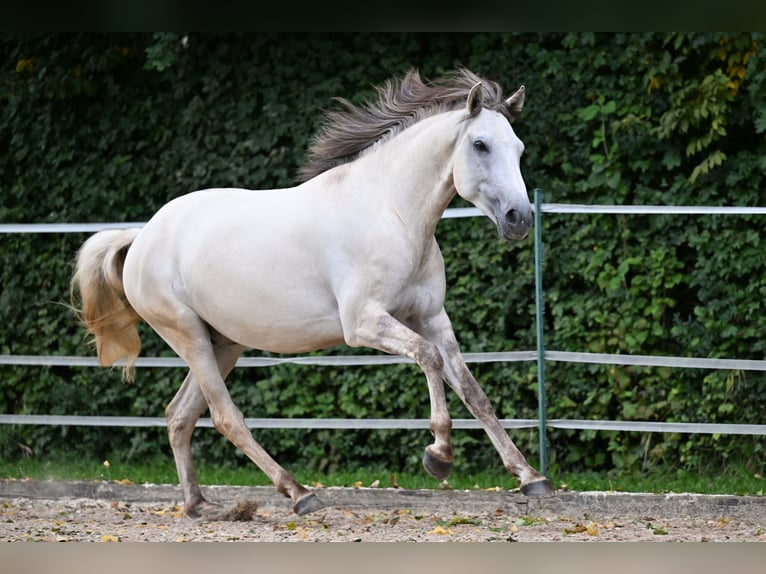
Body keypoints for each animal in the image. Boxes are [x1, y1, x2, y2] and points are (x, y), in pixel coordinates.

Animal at [70, 68, 552, 520]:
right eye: (481, 145)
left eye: (519, 149)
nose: (519, 219)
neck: (391, 214)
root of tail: (142, 236)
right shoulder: (364, 323)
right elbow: (428, 359)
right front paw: (438, 457)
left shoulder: (432, 317)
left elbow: (474, 392)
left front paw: (531, 477)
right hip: (187, 334)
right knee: (225, 417)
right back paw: (299, 493)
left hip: (223, 342)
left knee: (180, 415)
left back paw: (202, 506)